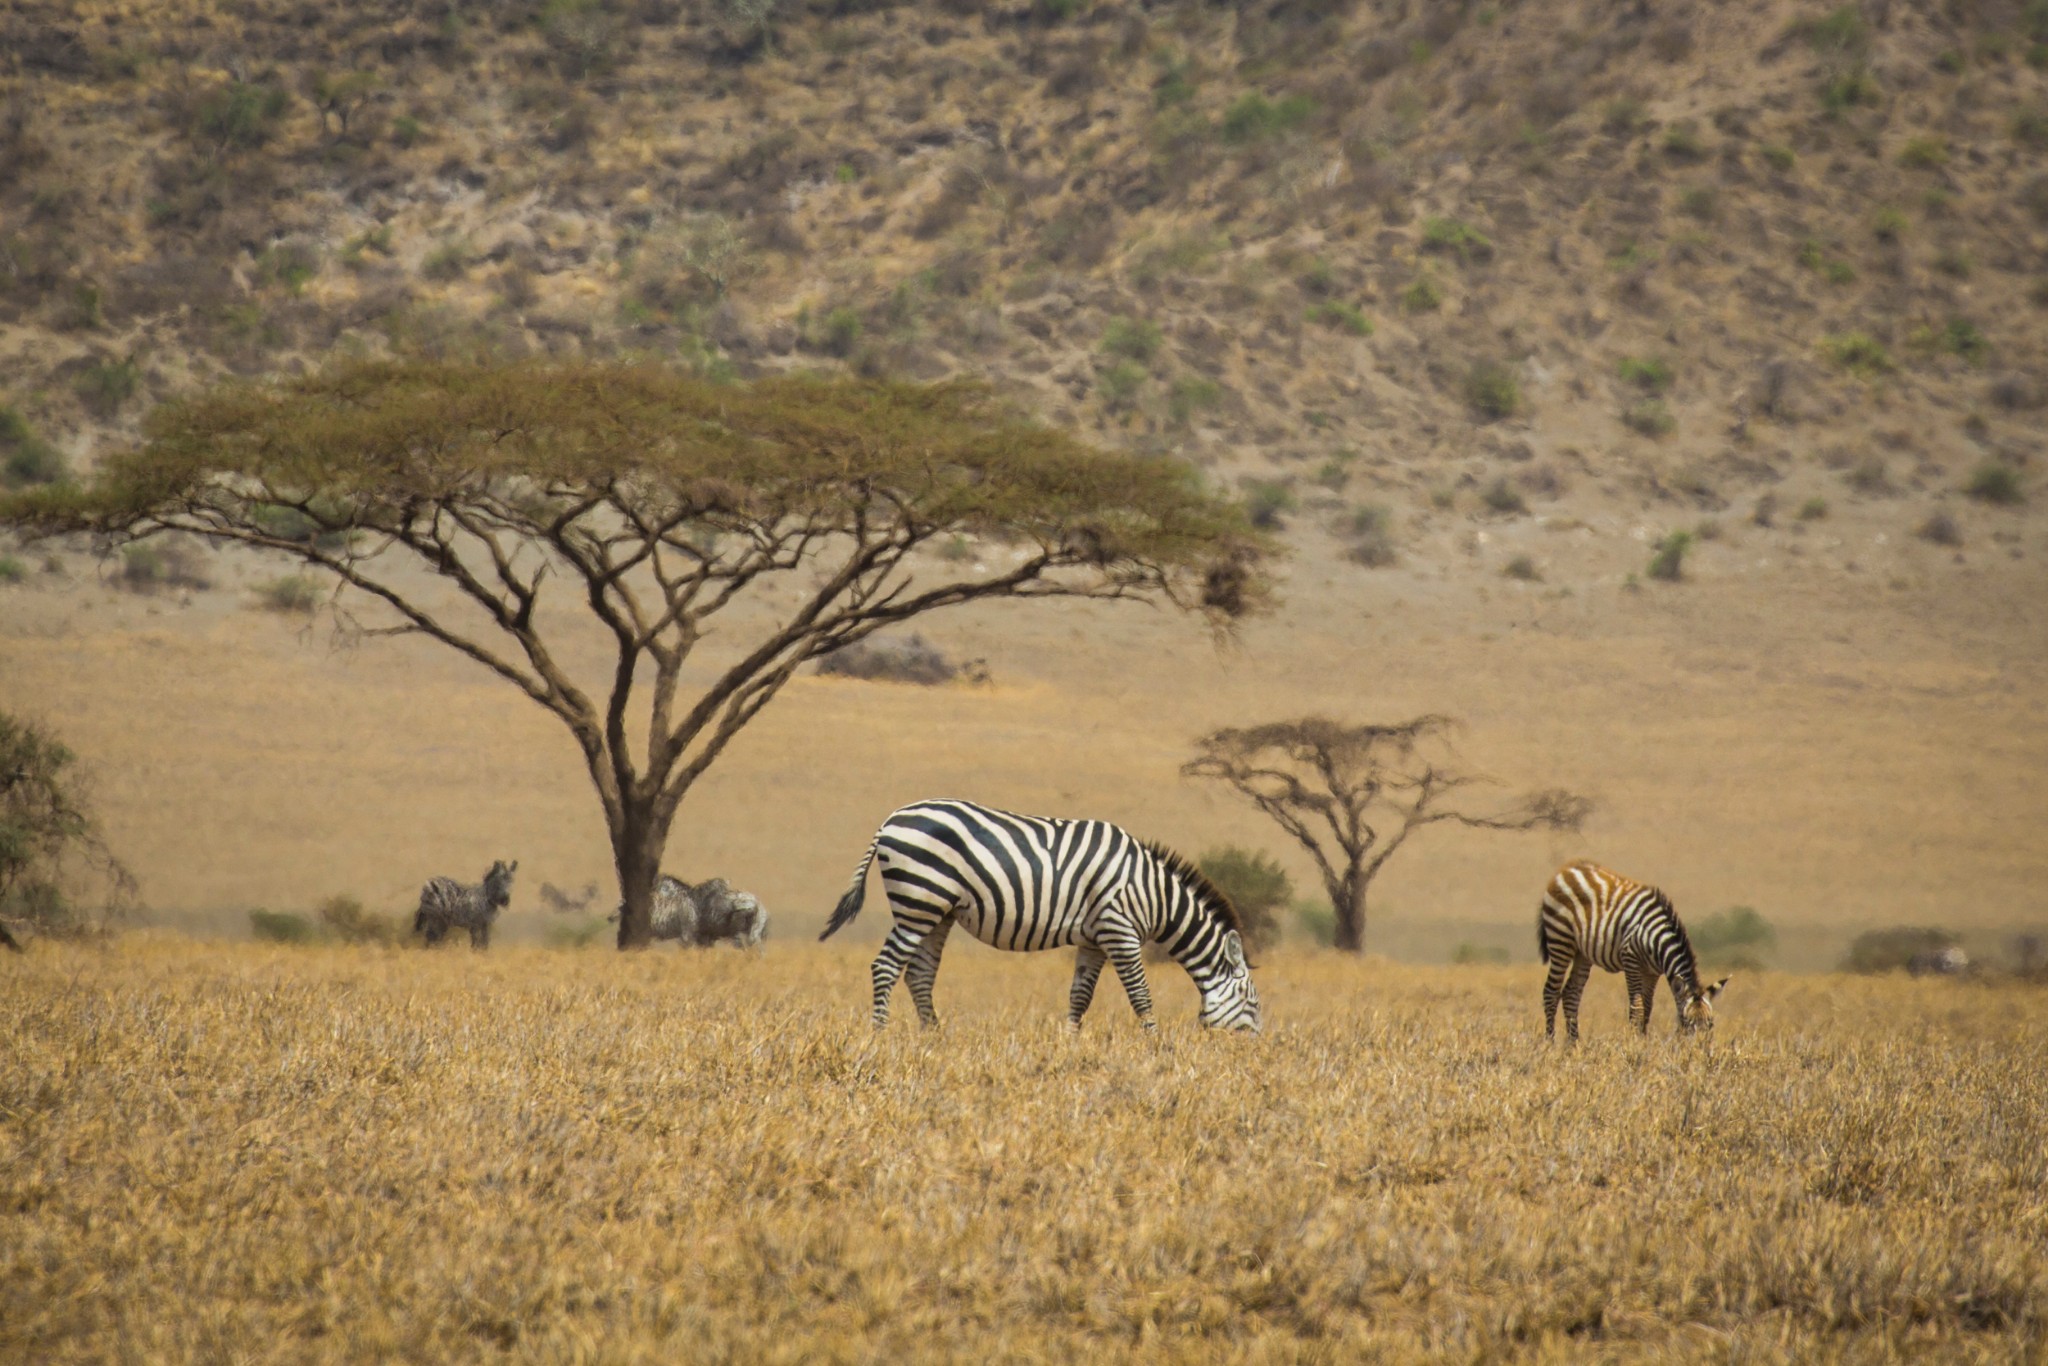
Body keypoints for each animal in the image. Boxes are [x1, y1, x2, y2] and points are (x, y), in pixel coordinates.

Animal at [823, 794, 1253, 1032]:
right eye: (1251, 999)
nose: (1252, 1051)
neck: (1153, 894)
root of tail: (889, 821)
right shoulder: (1119, 930)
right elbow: (1140, 994)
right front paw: (1157, 1045)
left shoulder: (1093, 939)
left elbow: (1080, 996)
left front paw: (1070, 1043)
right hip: (918, 901)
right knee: (886, 966)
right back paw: (880, 1035)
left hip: (937, 911)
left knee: (919, 973)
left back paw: (934, 1037)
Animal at [1540, 864, 1728, 1048]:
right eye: (1687, 1022)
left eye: (1711, 1023)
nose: (1700, 1050)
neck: (1656, 938)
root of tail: (1567, 869)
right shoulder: (1630, 959)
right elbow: (1637, 1007)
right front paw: (1634, 1044)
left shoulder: (1652, 972)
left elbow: (1648, 1007)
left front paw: (1643, 1043)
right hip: (1560, 940)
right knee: (1551, 991)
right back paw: (1550, 1044)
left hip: (1582, 953)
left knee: (1571, 994)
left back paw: (1574, 1045)